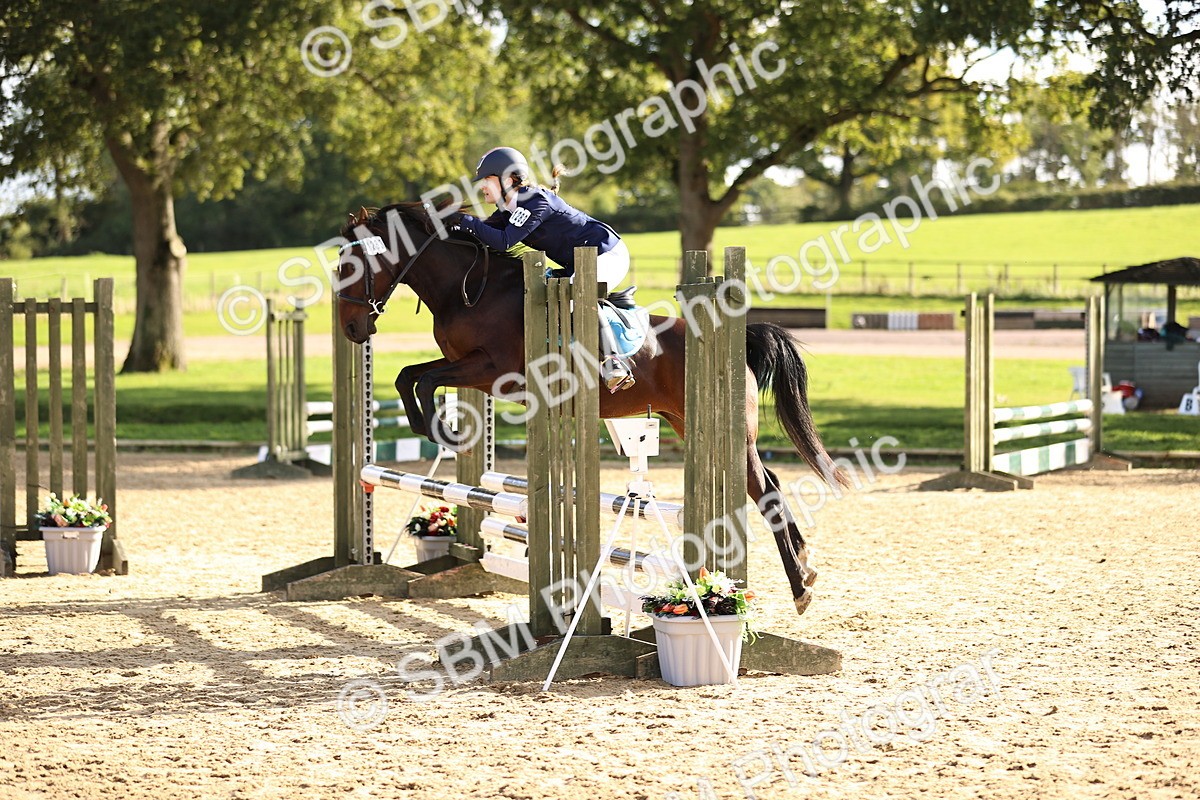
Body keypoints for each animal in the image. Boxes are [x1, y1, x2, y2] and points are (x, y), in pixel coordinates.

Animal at [334, 203, 846, 615]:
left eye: (352, 265)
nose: (352, 330)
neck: (470, 288)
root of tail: (737, 340)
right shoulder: (470, 368)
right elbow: (409, 375)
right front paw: (437, 429)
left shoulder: (491, 368)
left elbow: (422, 378)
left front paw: (444, 431)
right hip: (688, 424)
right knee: (765, 487)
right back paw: (803, 573)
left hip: (729, 432)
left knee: (767, 491)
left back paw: (798, 586)